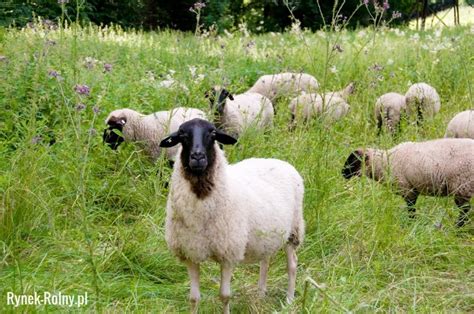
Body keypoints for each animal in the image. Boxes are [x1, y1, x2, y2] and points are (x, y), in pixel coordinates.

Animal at [161, 118, 306, 314]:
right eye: (182, 134)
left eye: (213, 133)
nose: (197, 157)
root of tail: (280, 162)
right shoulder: (191, 252)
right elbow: (193, 298)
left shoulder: (228, 252)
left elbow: (224, 296)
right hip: (267, 234)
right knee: (265, 262)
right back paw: (260, 295)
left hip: (294, 230)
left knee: (291, 265)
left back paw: (289, 300)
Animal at [342, 139, 472, 227]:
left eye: (354, 161)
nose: (342, 173)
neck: (383, 163)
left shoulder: (407, 189)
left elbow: (411, 208)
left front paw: (411, 223)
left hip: (462, 186)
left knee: (465, 210)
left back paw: (457, 227)